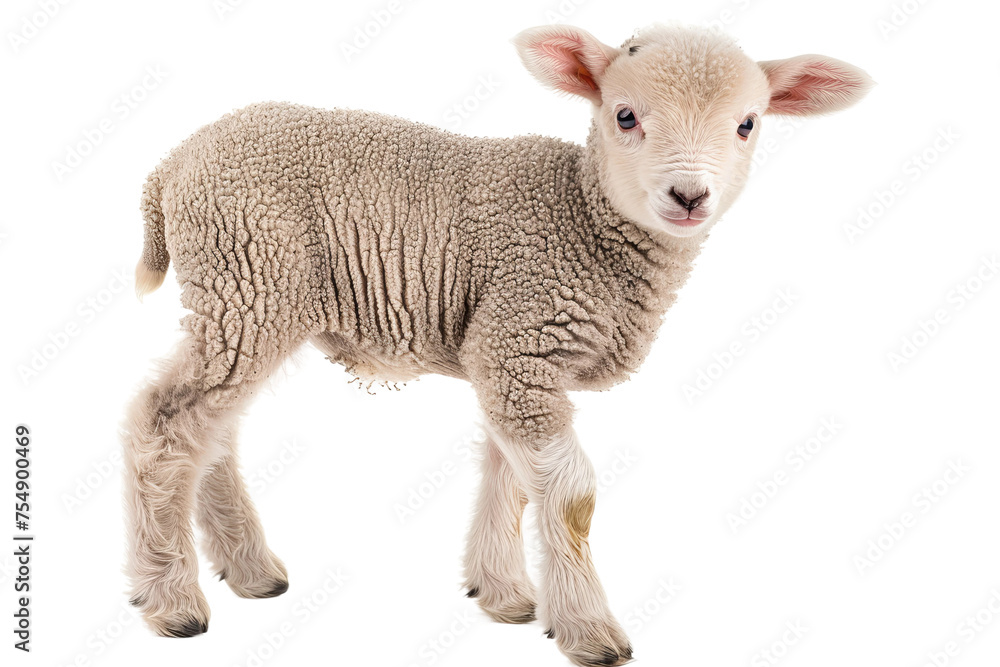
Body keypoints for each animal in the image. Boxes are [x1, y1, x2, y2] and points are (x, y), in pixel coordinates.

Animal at [123, 22, 872, 666]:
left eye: (748, 124)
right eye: (625, 116)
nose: (688, 196)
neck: (583, 216)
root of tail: (169, 168)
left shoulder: (508, 356)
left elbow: (510, 477)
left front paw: (502, 593)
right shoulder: (518, 337)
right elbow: (571, 498)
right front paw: (589, 629)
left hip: (245, 297)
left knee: (211, 428)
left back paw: (248, 569)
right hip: (251, 275)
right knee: (164, 422)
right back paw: (171, 599)